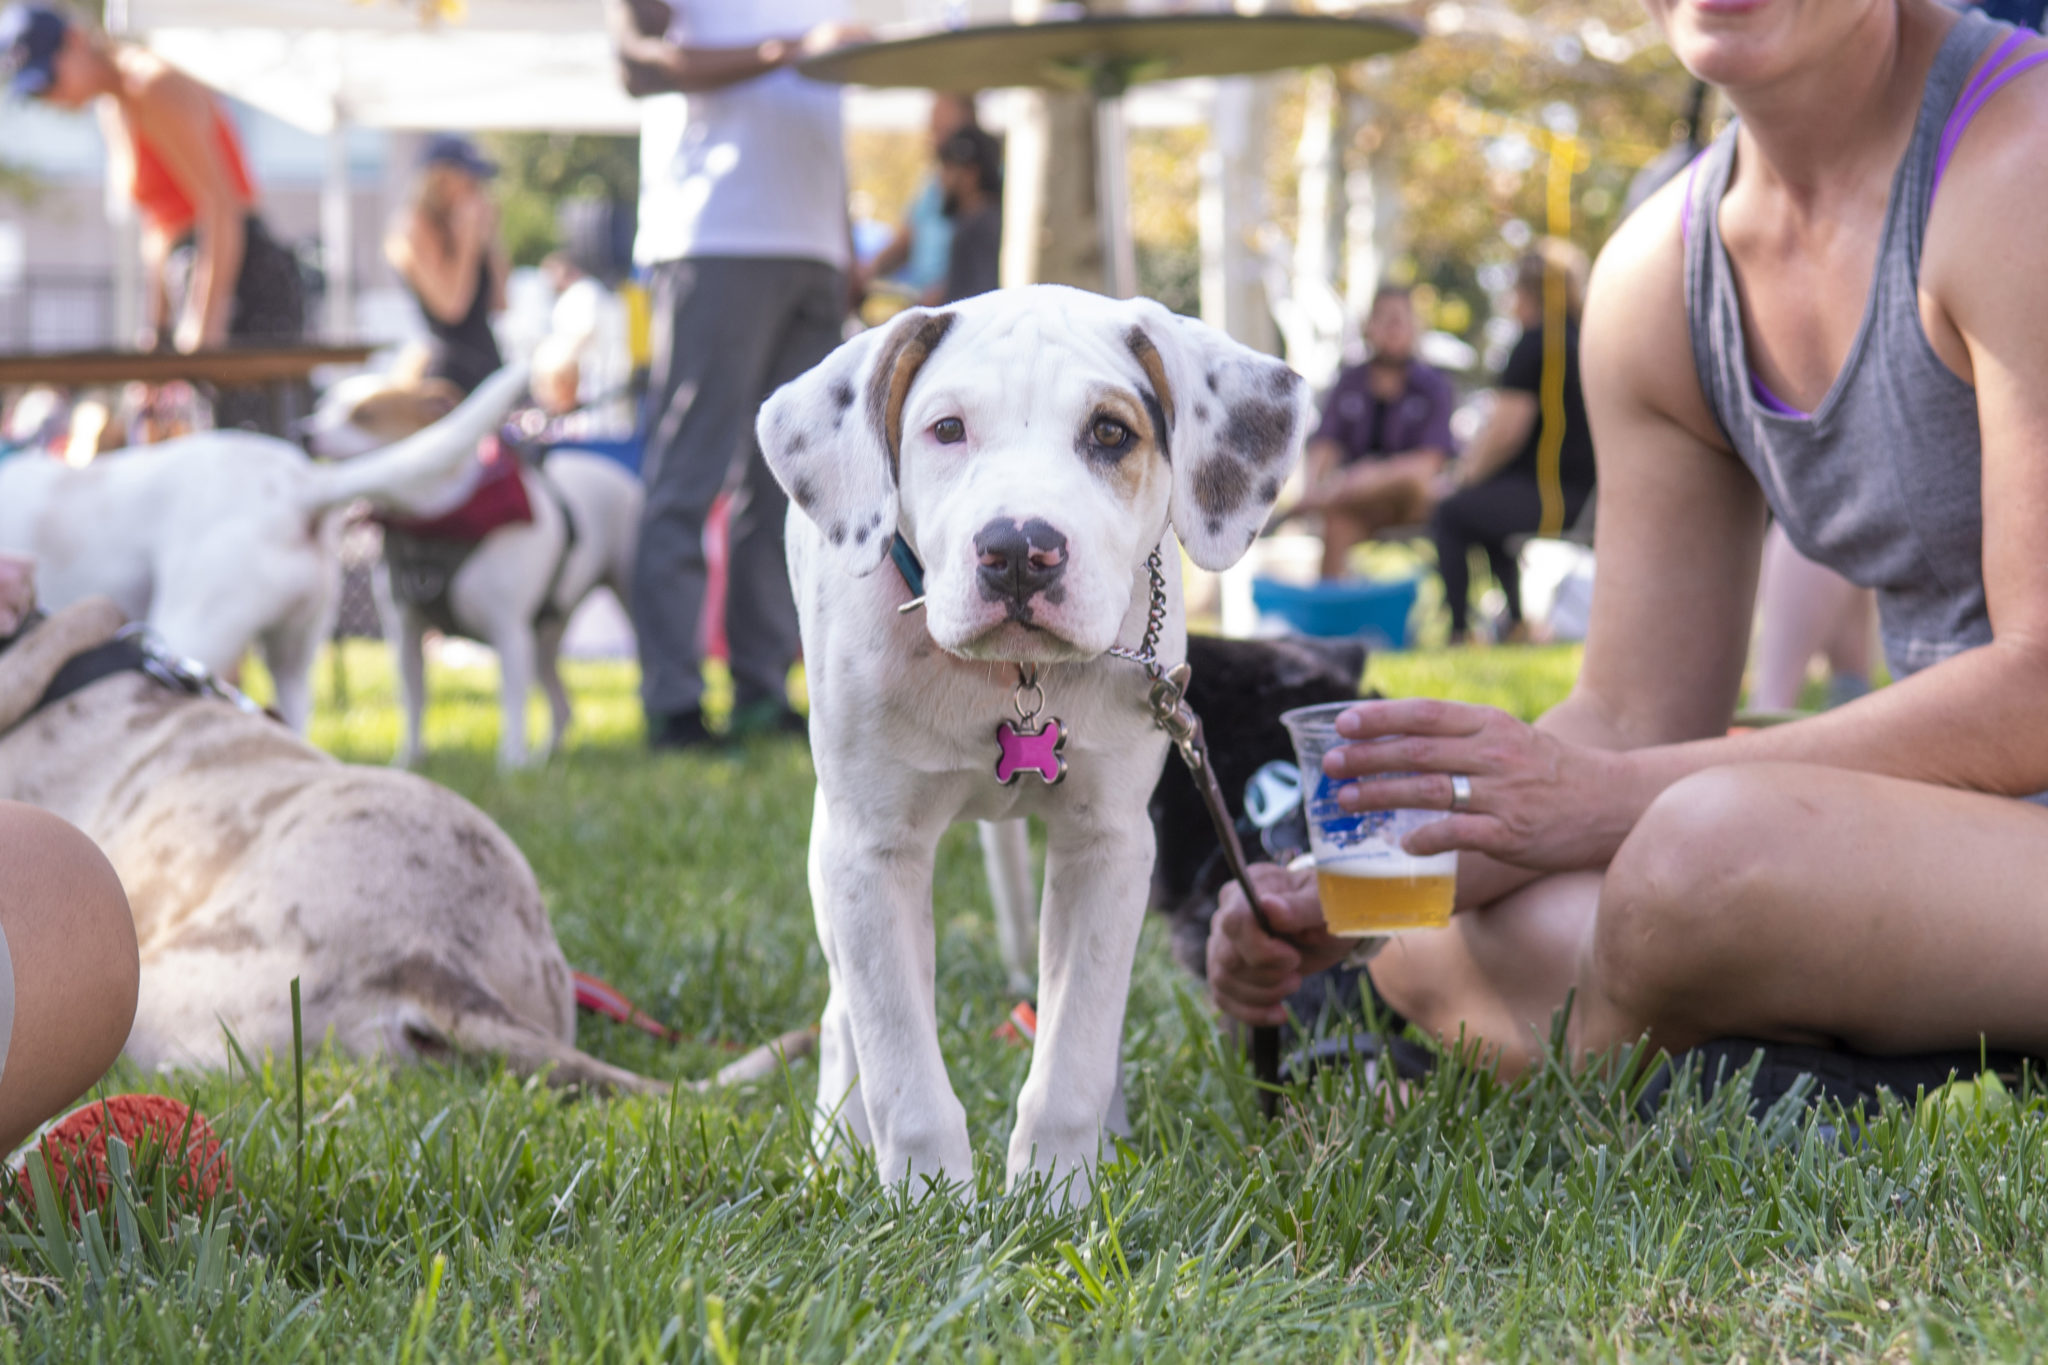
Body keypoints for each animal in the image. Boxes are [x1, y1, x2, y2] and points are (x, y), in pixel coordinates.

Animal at [757, 286, 1310, 1195]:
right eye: (946, 428)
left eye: (1112, 432)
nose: (1019, 549)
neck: (1013, 680)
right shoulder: (870, 849)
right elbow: (901, 1068)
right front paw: (929, 1202)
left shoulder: (1110, 842)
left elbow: (1073, 1048)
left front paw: (1057, 1195)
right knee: (842, 1016)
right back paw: (833, 1152)